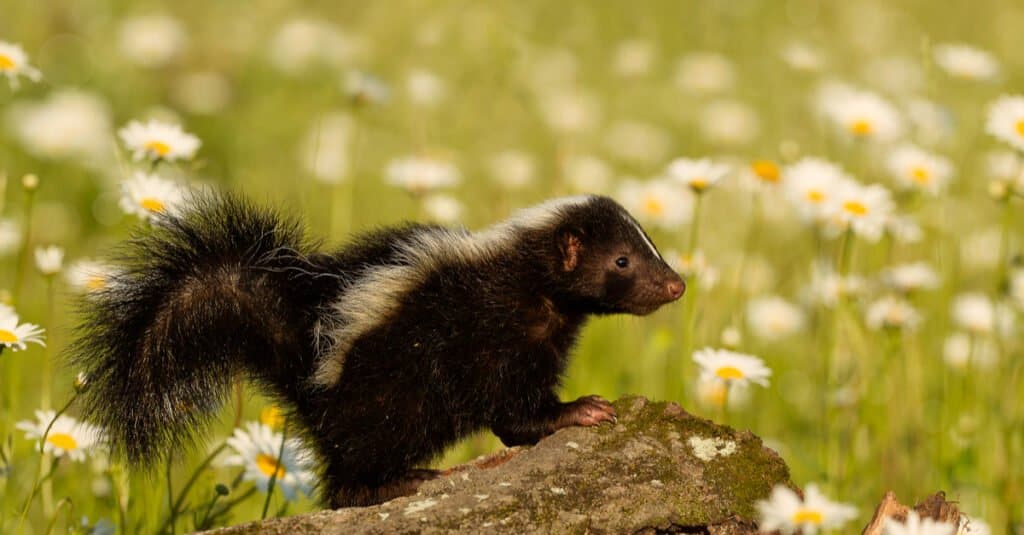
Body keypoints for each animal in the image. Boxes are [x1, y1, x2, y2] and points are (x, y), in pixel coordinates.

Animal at [68, 190, 684, 504]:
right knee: (350, 473)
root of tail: (305, 352)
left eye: (649, 246)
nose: (676, 284)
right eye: (622, 261)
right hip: (383, 391)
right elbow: (514, 413)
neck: (525, 278)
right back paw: (404, 481)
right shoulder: (491, 334)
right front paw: (582, 410)